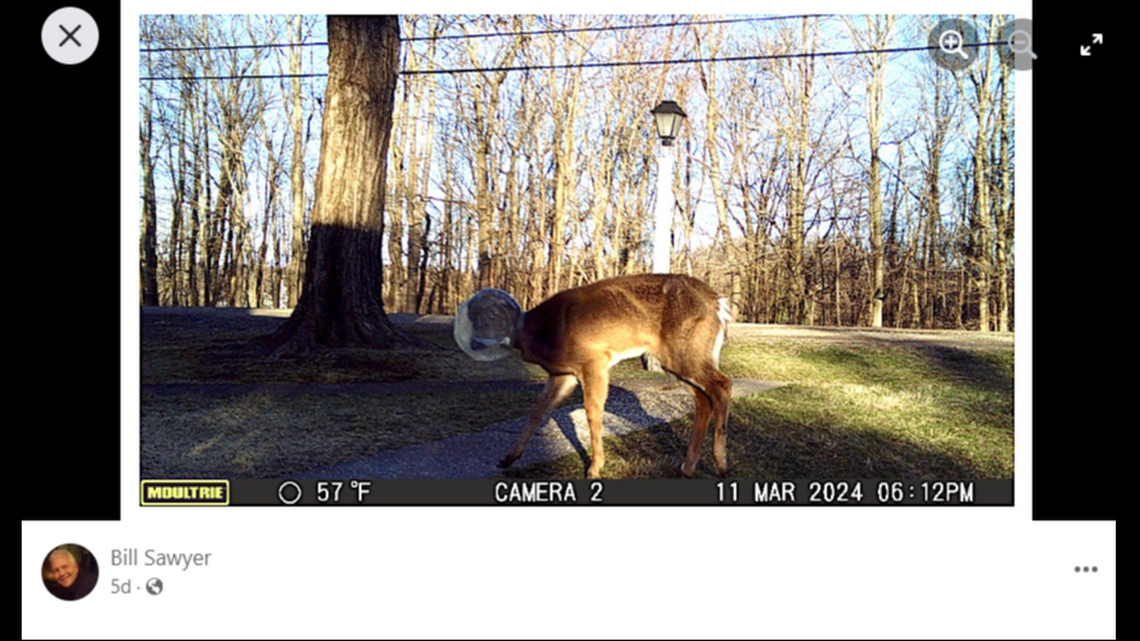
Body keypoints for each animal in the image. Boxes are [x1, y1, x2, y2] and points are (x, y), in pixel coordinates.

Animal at [454, 273, 733, 479]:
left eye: (487, 318)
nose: (471, 343)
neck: (543, 334)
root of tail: (718, 304)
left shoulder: (593, 361)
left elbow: (592, 411)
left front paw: (595, 467)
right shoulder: (563, 374)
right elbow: (538, 410)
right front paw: (507, 458)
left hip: (685, 351)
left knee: (723, 384)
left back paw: (720, 463)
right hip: (676, 359)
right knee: (703, 399)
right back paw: (688, 467)